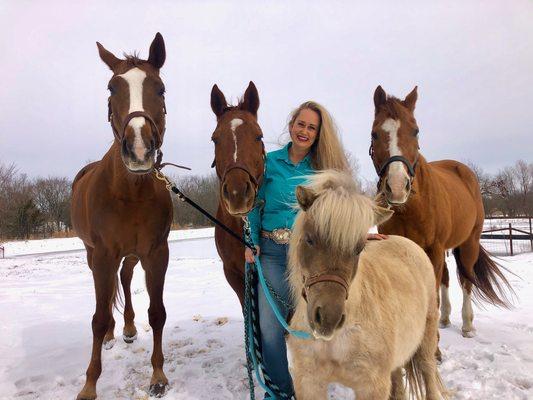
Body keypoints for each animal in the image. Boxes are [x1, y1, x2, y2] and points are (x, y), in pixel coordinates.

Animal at [70, 32, 170, 398]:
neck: (129, 192)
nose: (139, 149)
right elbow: (97, 319)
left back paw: (126, 327)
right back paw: (114, 333)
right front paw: (89, 385)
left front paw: (157, 376)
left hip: (132, 254)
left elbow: (157, 313)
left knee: (124, 278)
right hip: (94, 255)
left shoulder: (156, 253)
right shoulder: (102, 255)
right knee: (111, 287)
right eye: (112, 88)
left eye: (160, 88)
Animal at [286, 171, 444, 400]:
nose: (328, 319)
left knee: (427, 370)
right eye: (309, 239)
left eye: (359, 248)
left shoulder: (371, 387)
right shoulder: (309, 383)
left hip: (427, 337)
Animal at [370, 86, 512, 340]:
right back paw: (445, 318)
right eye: (375, 134)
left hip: (469, 243)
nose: (397, 187)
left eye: (416, 131)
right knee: (446, 277)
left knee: (465, 280)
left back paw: (467, 325)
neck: (411, 208)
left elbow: (433, 295)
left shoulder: (433, 250)